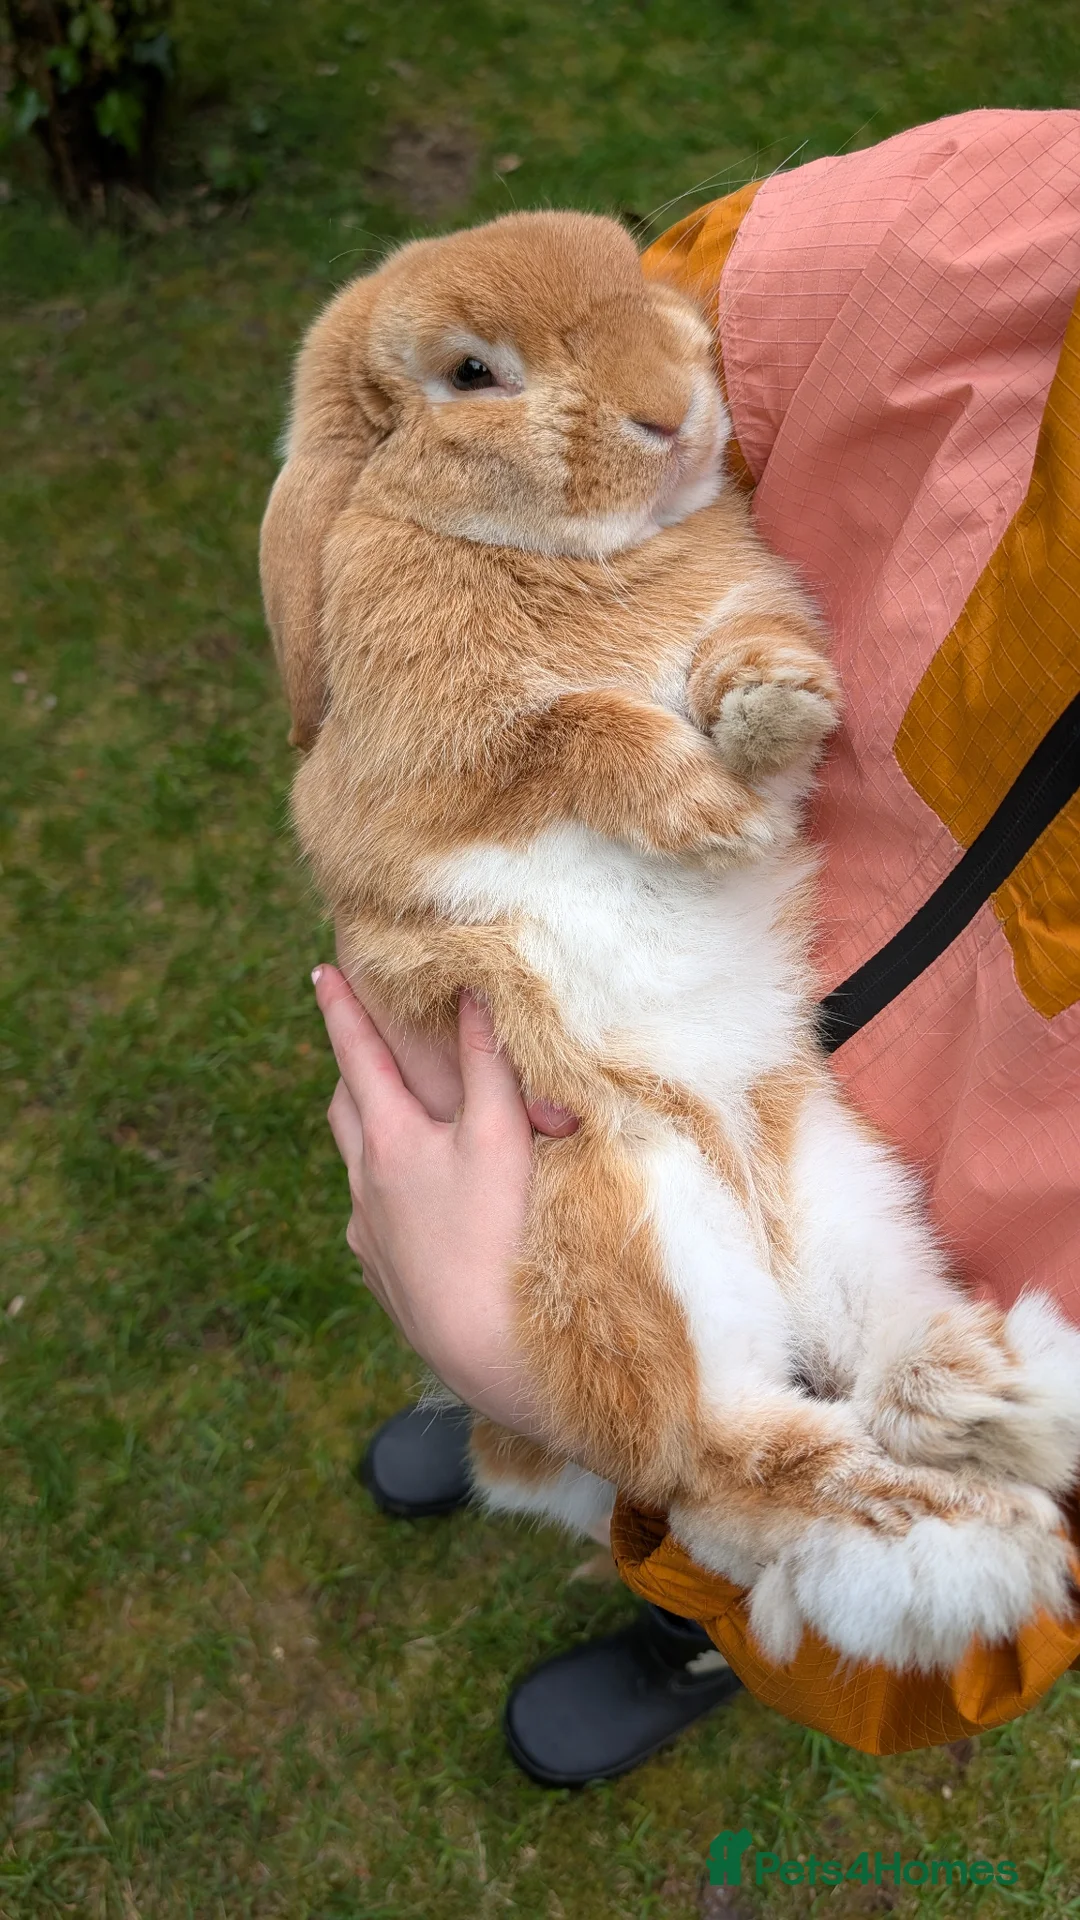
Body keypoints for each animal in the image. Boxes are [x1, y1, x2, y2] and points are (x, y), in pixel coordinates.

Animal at [261, 210, 1080, 1674]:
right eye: (472, 372)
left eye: (633, 267)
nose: (678, 401)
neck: (580, 560)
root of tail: (757, 1204)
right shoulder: (433, 781)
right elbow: (570, 728)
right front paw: (706, 811)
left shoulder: (736, 605)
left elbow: (740, 660)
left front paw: (767, 703)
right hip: (633, 1240)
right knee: (728, 1458)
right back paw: (980, 1537)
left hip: (851, 1199)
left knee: (871, 1375)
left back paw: (1005, 1418)